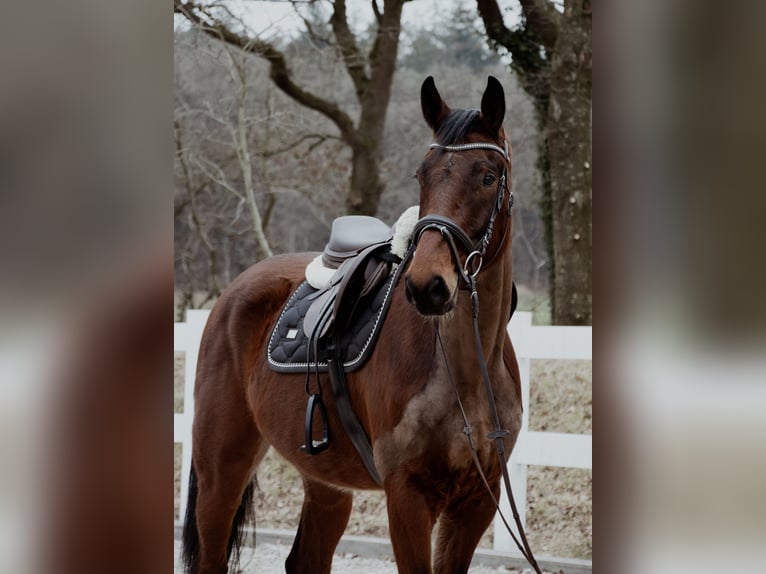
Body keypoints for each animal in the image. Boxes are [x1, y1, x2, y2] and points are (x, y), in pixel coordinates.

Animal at [183, 76, 524, 574]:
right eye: (422, 175)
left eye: (488, 176)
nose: (427, 286)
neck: (465, 375)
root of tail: (232, 294)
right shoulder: (406, 497)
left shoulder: (478, 499)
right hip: (221, 471)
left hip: (325, 482)